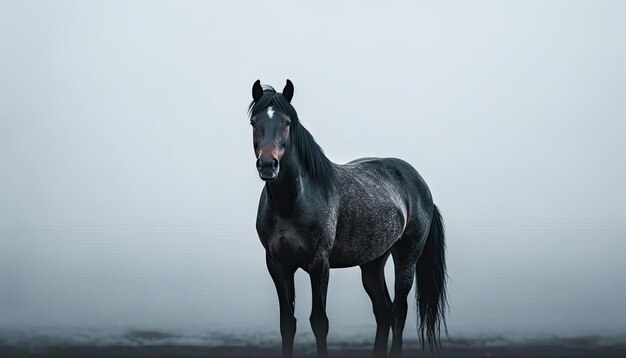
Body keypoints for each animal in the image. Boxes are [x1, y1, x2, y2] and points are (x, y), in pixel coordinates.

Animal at [246, 79, 446, 358]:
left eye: (287, 122)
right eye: (254, 122)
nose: (267, 165)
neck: (291, 203)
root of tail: (420, 185)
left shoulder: (319, 264)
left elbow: (319, 322)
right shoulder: (278, 266)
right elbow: (287, 323)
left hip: (407, 258)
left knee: (398, 313)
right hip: (372, 263)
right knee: (383, 313)